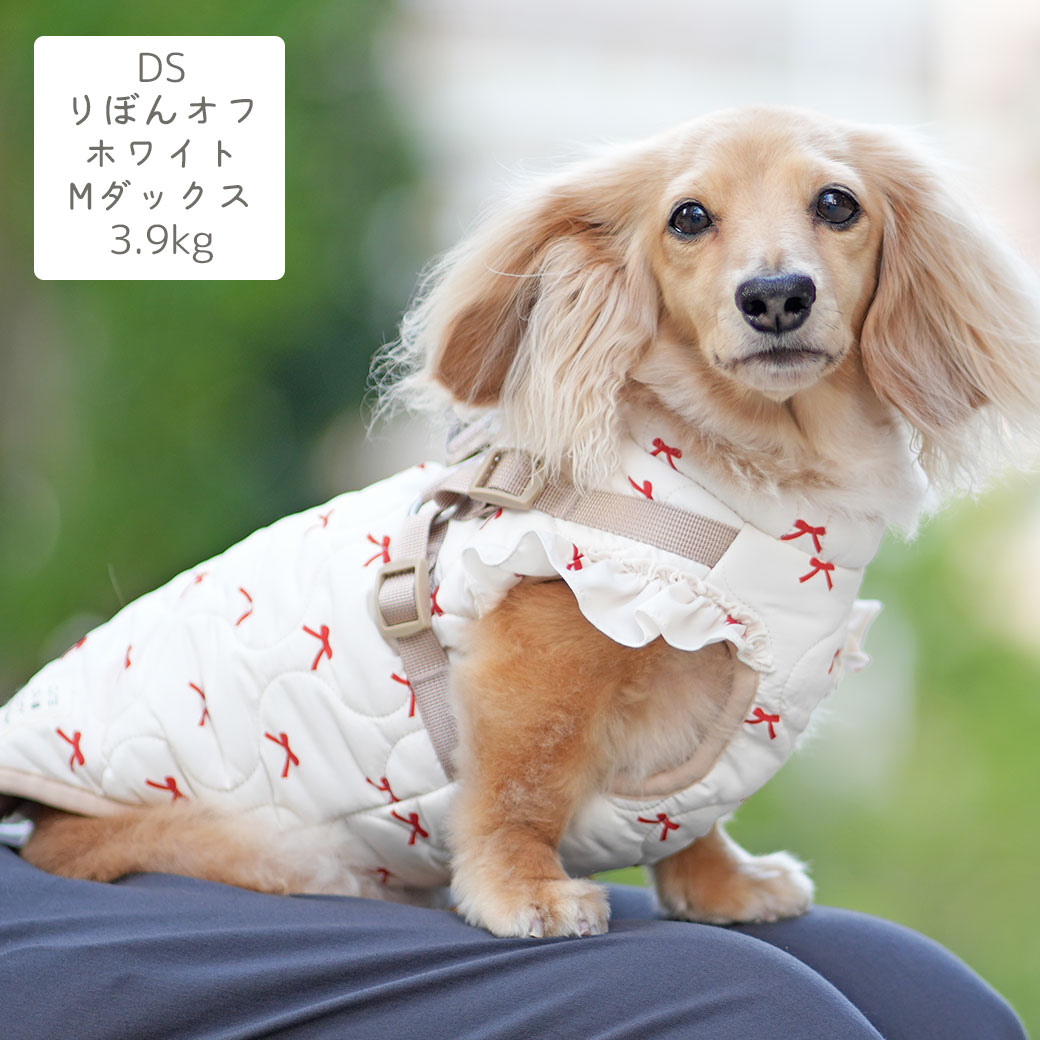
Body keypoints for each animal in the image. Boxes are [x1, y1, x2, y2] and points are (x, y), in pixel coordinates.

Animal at [4, 106, 1040, 939]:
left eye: (837, 204)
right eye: (689, 217)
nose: (776, 295)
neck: (750, 476)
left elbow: (695, 816)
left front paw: (722, 885)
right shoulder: (544, 651)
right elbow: (520, 786)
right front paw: (525, 893)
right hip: (272, 843)